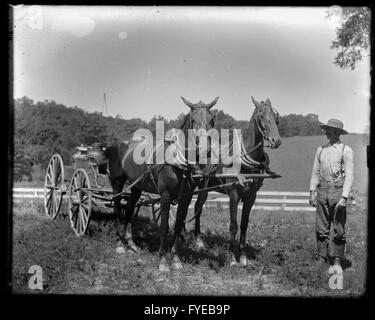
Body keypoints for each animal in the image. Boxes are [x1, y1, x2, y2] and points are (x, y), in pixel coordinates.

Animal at [104, 97, 219, 270]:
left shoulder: (186, 198)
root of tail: (117, 143)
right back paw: (119, 245)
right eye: (193, 120)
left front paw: (176, 259)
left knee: (130, 208)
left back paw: (131, 244)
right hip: (117, 183)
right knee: (117, 209)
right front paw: (163, 260)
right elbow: (165, 226)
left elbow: (178, 225)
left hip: (136, 186)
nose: (205, 149)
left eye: (212, 120)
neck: (178, 162)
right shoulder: (165, 196)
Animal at [191, 96, 282, 266]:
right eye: (261, 116)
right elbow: (233, 225)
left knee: (197, 207)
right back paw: (194, 239)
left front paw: (244, 256)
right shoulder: (234, 194)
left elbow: (244, 225)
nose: (276, 140)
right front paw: (234, 257)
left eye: (275, 117)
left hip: (204, 189)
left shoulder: (251, 197)